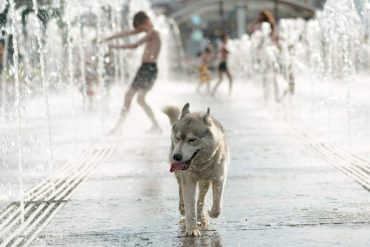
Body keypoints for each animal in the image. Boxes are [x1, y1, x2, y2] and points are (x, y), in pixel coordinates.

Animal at [164, 103, 230, 236]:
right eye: (177, 138)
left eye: (192, 140)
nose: (176, 156)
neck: (201, 164)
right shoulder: (188, 181)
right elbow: (190, 207)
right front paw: (191, 230)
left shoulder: (219, 178)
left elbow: (217, 204)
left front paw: (212, 212)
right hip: (180, 176)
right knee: (181, 190)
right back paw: (182, 207)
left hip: (205, 182)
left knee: (201, 199)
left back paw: (202, 217)